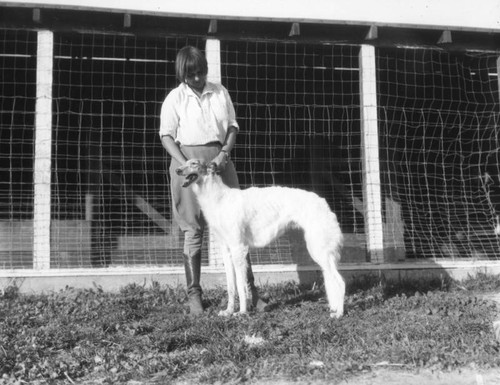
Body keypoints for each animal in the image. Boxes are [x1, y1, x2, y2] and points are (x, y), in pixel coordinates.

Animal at [175, 158, 344, 316]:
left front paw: (242, 312)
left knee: (340, 282)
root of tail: (323, 202)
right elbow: (231, 286)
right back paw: (335, 309)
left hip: (318, 248)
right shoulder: (226, 250)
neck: (219, 199)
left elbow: (241, 285)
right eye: (184, 162)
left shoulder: (238, 248)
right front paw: (228, 311)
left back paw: (339, 314)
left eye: (194, 163)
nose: (177, 170)